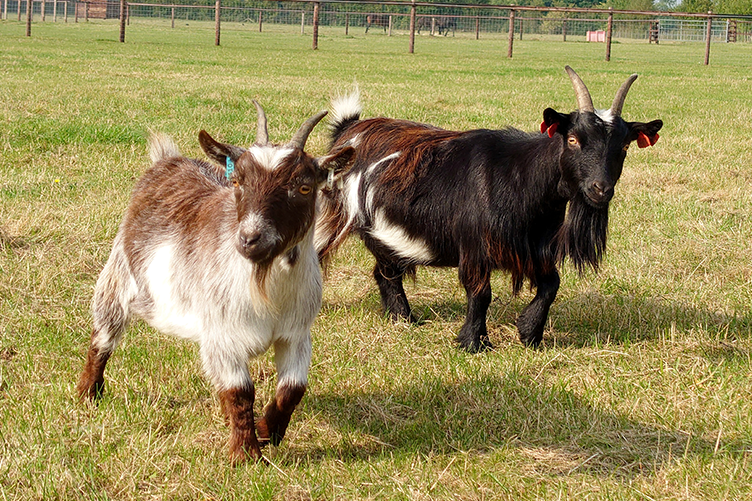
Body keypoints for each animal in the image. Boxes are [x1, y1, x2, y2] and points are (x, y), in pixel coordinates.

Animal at [77, 102, 355, 463]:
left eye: (304, 188)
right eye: (237, 182)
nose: (250, 239)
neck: (265, 286)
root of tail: (167, 161)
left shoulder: (296, 333)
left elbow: (292, 389)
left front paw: (267, 430)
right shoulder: (224, 334)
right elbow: (240, 392)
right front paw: (245, 455)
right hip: (117, 277)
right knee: (103, 336)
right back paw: (88, 393)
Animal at [316, 67, 662, 352]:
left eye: (624, 145)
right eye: (574, 139)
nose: (600, 189)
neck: (520, 178)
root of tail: (348, 130)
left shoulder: (534, 247)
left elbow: (551, 285)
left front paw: (529, 333)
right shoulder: (475, 247)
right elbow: (481, 294)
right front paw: (473, 343)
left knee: (385, 272)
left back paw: (403, 318)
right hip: (330, 215)